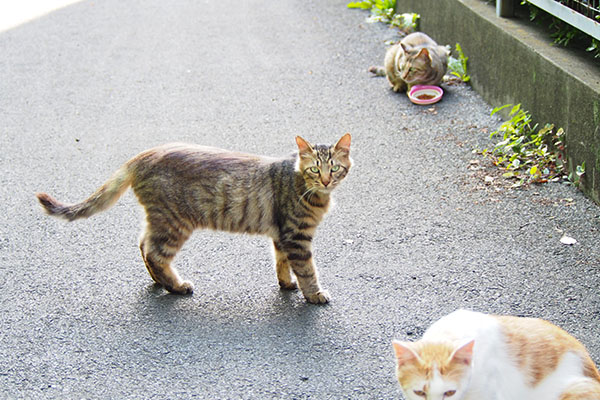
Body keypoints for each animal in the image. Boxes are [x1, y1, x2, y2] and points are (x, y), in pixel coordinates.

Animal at [36, 134, 352, 304]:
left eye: (334, 168)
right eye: (315, 170)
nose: (326, 181)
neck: (302, 184)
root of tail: (142, 155)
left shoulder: (282, 235)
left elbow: (281, 263)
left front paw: (287, 284)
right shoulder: (296, 237)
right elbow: (307, 270)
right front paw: (314, 295)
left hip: (160, 221)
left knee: (143, 245)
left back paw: (160, 282)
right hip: (175, 224)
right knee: (154, 252)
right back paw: (175, 286)